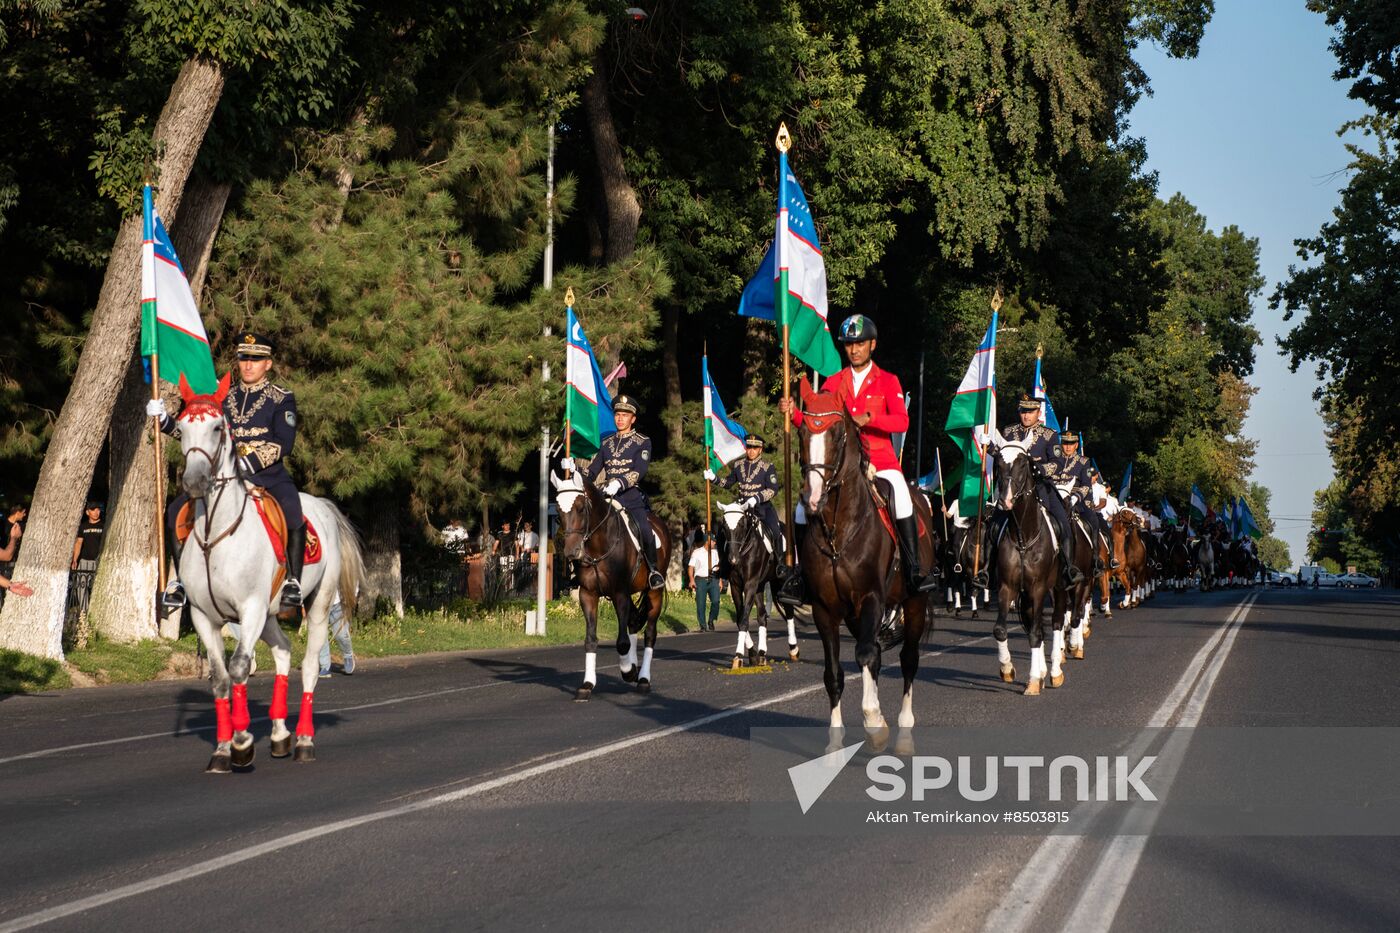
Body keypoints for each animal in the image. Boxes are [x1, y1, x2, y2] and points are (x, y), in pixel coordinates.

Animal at [174, 372, 364, 767]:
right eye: (181, 428)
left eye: (218, 427)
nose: (195, 483)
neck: (216, 534)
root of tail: (321, 505)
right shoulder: (204, 616)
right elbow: (220, 678)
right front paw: (222, 749)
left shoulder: (250, 609)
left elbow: (239, 667)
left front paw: (242, 741)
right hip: (271, 615)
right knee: (283, 651)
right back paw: (279, 734)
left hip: (318, 605)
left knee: (309, 666)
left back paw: (304, 739)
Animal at [551, 465, 672, 697]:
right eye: (559, 513)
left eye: (581, 508)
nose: (572, 552)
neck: (598, 545)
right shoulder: (588, 594)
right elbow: (591, 640)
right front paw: (588, 684)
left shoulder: (620, 593)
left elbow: (623, 642)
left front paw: (628, 671)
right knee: (633, 621)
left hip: (654, 592)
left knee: (649, 633)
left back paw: (643, 678)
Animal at [795, 375, 935, 745]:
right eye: (801, 434)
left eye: (837, 433)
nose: (812, 498)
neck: (838, 528)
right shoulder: (824, 608)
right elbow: (834, 673)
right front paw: (835, 741)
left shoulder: (872, 597)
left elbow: (865, 653)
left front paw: (873, 718)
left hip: (914, 602)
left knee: (907, 658)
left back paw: (903, 724)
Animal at [991, 434, 1075, 689]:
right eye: (998, 463)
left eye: (1023, 463)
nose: (1006, 501)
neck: (1023, 537)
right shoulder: (1007, 587)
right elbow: (1001, 630)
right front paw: (1008, 669)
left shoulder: (1038, 588)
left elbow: (1038, 632)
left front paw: (1033, 681)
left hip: (1057, 587)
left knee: (1056, 622)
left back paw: (1054, 671)